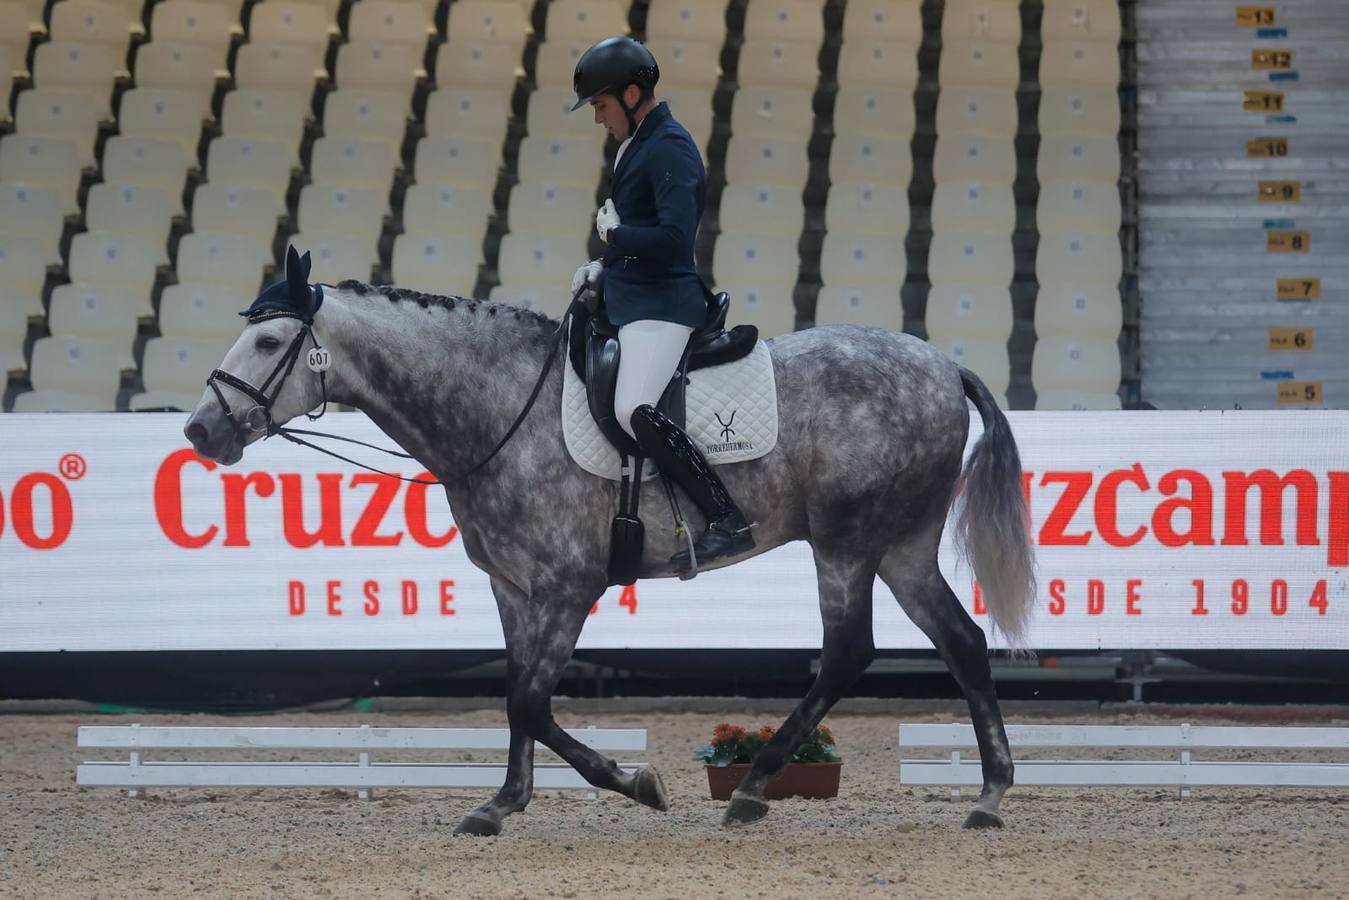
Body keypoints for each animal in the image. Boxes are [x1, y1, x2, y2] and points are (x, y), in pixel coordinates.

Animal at [183, 251, 1036, 835]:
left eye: (269, 342)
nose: (198, 431)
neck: (498, 407)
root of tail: (942, 364)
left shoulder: (569, 585)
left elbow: (530, 700)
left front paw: (632, 784)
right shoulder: (513, 586)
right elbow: (517, 695)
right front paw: (504, 803)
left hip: (847, 542)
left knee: (848, 652)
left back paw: (753, 785)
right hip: (901, 546)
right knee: (960, 642)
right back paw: (989, 795)